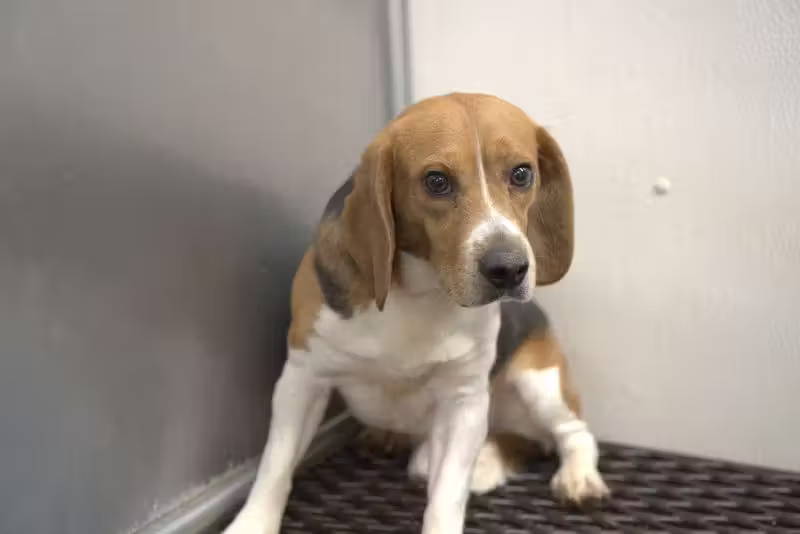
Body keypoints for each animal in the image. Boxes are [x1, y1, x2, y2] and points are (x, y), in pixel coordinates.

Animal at [224, 93, 608, 534]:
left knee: (573, 433)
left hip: (539, 381)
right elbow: (275, 466)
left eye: (522, 174)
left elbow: (446, 497)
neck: (420, 292)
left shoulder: (463, 401)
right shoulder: (302, 378)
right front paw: (252, 523)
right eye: (436, 181)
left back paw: (577, 477)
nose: (510, 269)